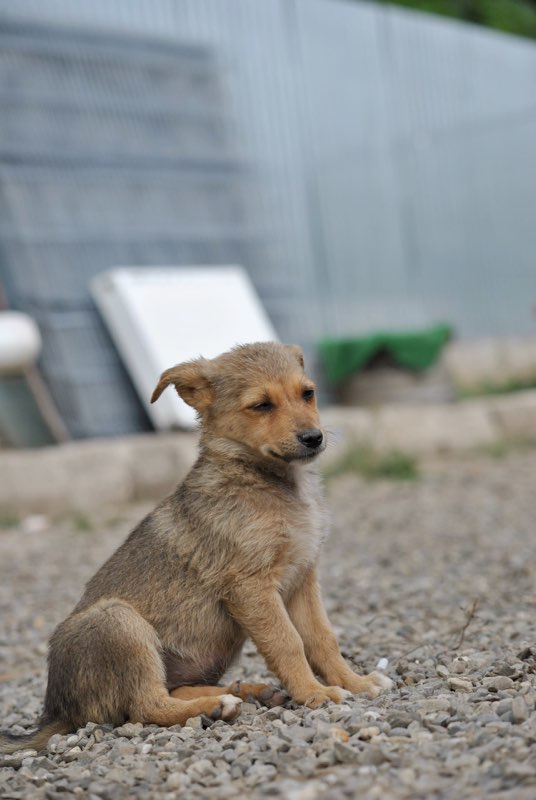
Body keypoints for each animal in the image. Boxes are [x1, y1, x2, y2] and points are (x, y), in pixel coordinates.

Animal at [2, 340, 392, 752]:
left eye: (308, 394)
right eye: (261, 405)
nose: (314, 437)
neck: (271, 482)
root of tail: (56, 715)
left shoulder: (302, 577)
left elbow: (321, 638)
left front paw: (354, 682)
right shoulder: (250, 586)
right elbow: (287, 642)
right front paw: (315, 693)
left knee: (171, 689)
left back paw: (245, 691)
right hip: (117, 621)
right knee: (145, 706)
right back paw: (216, 705)